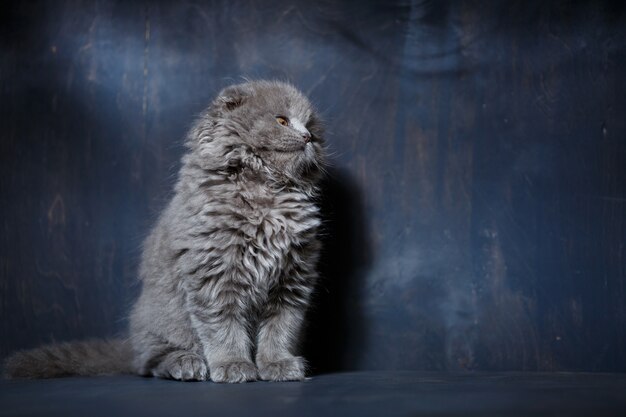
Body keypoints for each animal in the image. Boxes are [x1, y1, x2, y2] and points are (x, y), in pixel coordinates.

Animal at [3, 79, 326, 382]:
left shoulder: (292, 280)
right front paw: (233, 364)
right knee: (149, 361)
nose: (307, 137)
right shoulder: (215, 275)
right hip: (164, 318)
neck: (268, 190)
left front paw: (278, 364)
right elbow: (224, 327)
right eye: (281, 120)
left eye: (311, 127)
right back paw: (186, 364)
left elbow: (280, 328)